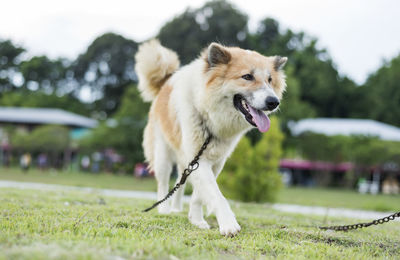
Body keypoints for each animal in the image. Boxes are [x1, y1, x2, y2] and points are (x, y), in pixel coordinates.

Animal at [136, 39, 286, 237]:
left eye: (270, 80)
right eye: (247, 77)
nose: (273, 102)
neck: (210, 115)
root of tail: (165, 82)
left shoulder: (214, 161)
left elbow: (199, 195)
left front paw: (196, 220)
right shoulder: (200, 159)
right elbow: (216, 195)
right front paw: (228, 224)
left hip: (185, 159)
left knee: (180, 181)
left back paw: (176, 209)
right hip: (163, 155)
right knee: (163, 182)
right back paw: (164, 210)